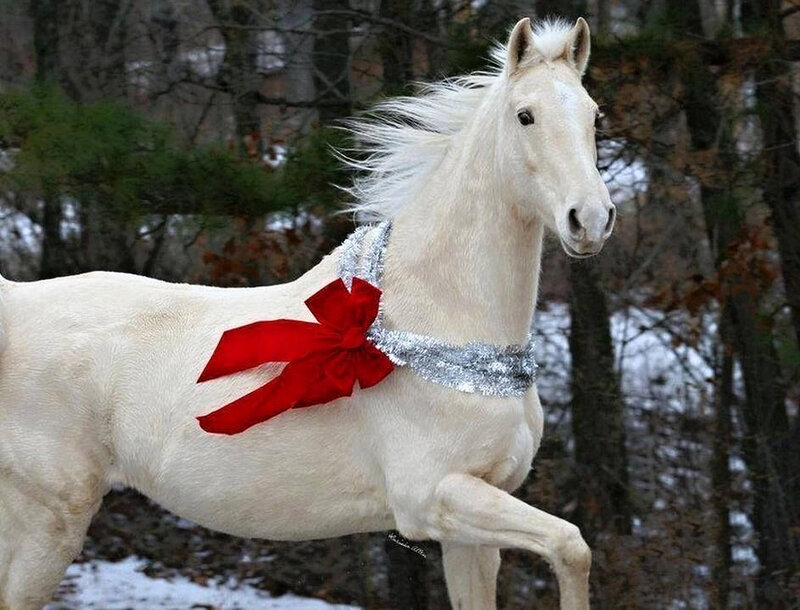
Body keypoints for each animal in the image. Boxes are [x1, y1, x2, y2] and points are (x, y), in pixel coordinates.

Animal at [0, 17, 615, 609]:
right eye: (525, 116)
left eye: (593, 115)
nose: (590, 219)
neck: (440, 321)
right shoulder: (433, 497)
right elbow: (572, 546)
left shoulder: (472, 526)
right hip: (47, 520)